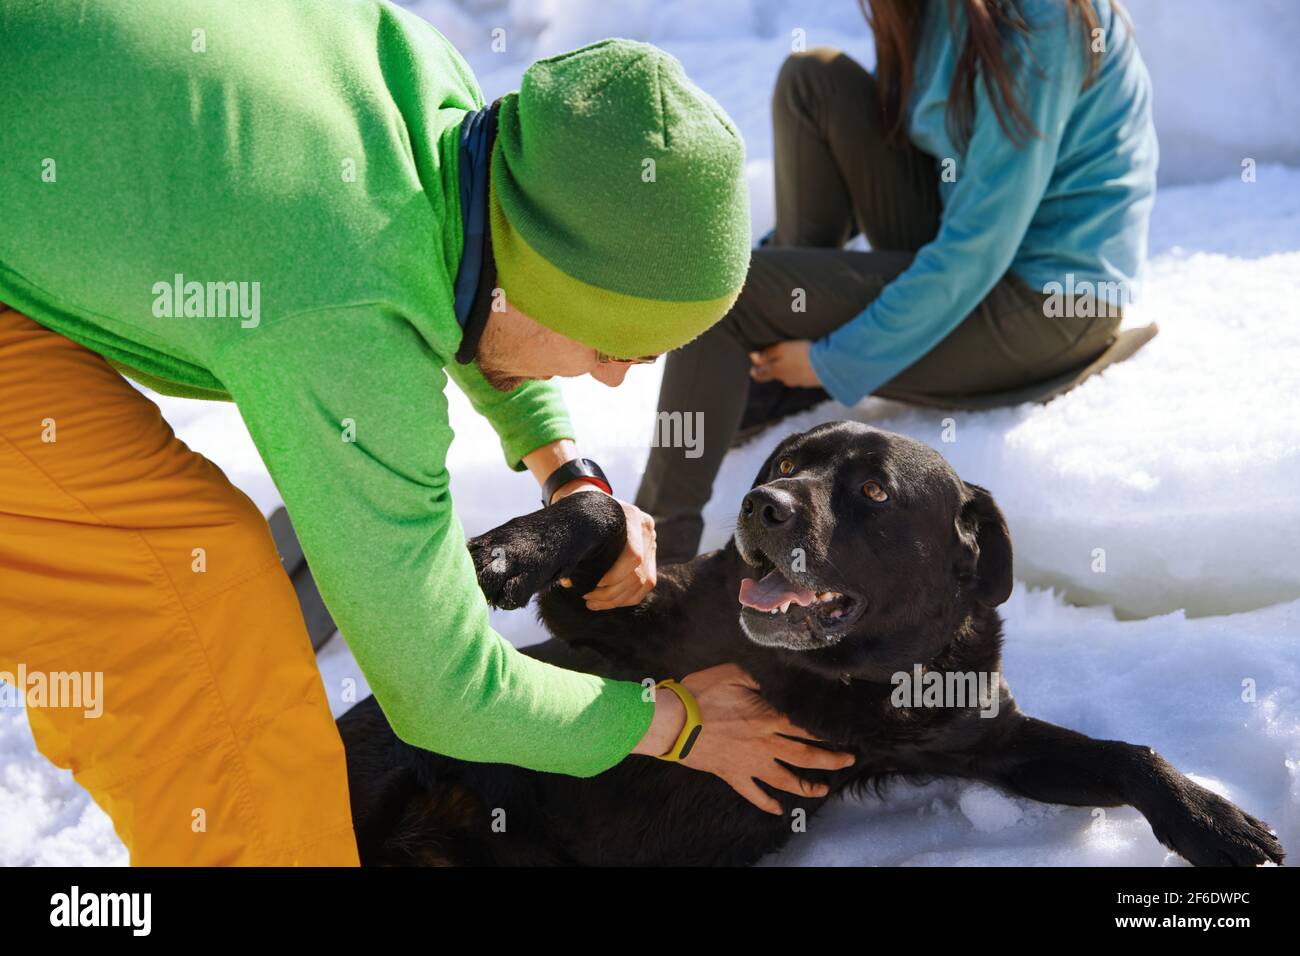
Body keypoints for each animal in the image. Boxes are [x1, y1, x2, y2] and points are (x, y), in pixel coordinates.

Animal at [335, 424, 1279, 868]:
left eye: (874, 491)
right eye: (788, 463)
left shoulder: (985, 740)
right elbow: (599, 509)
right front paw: (507, 552)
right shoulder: (607, 625)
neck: (832, 675)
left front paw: (1213, 821)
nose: (763, 506)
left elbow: (1128, 754)